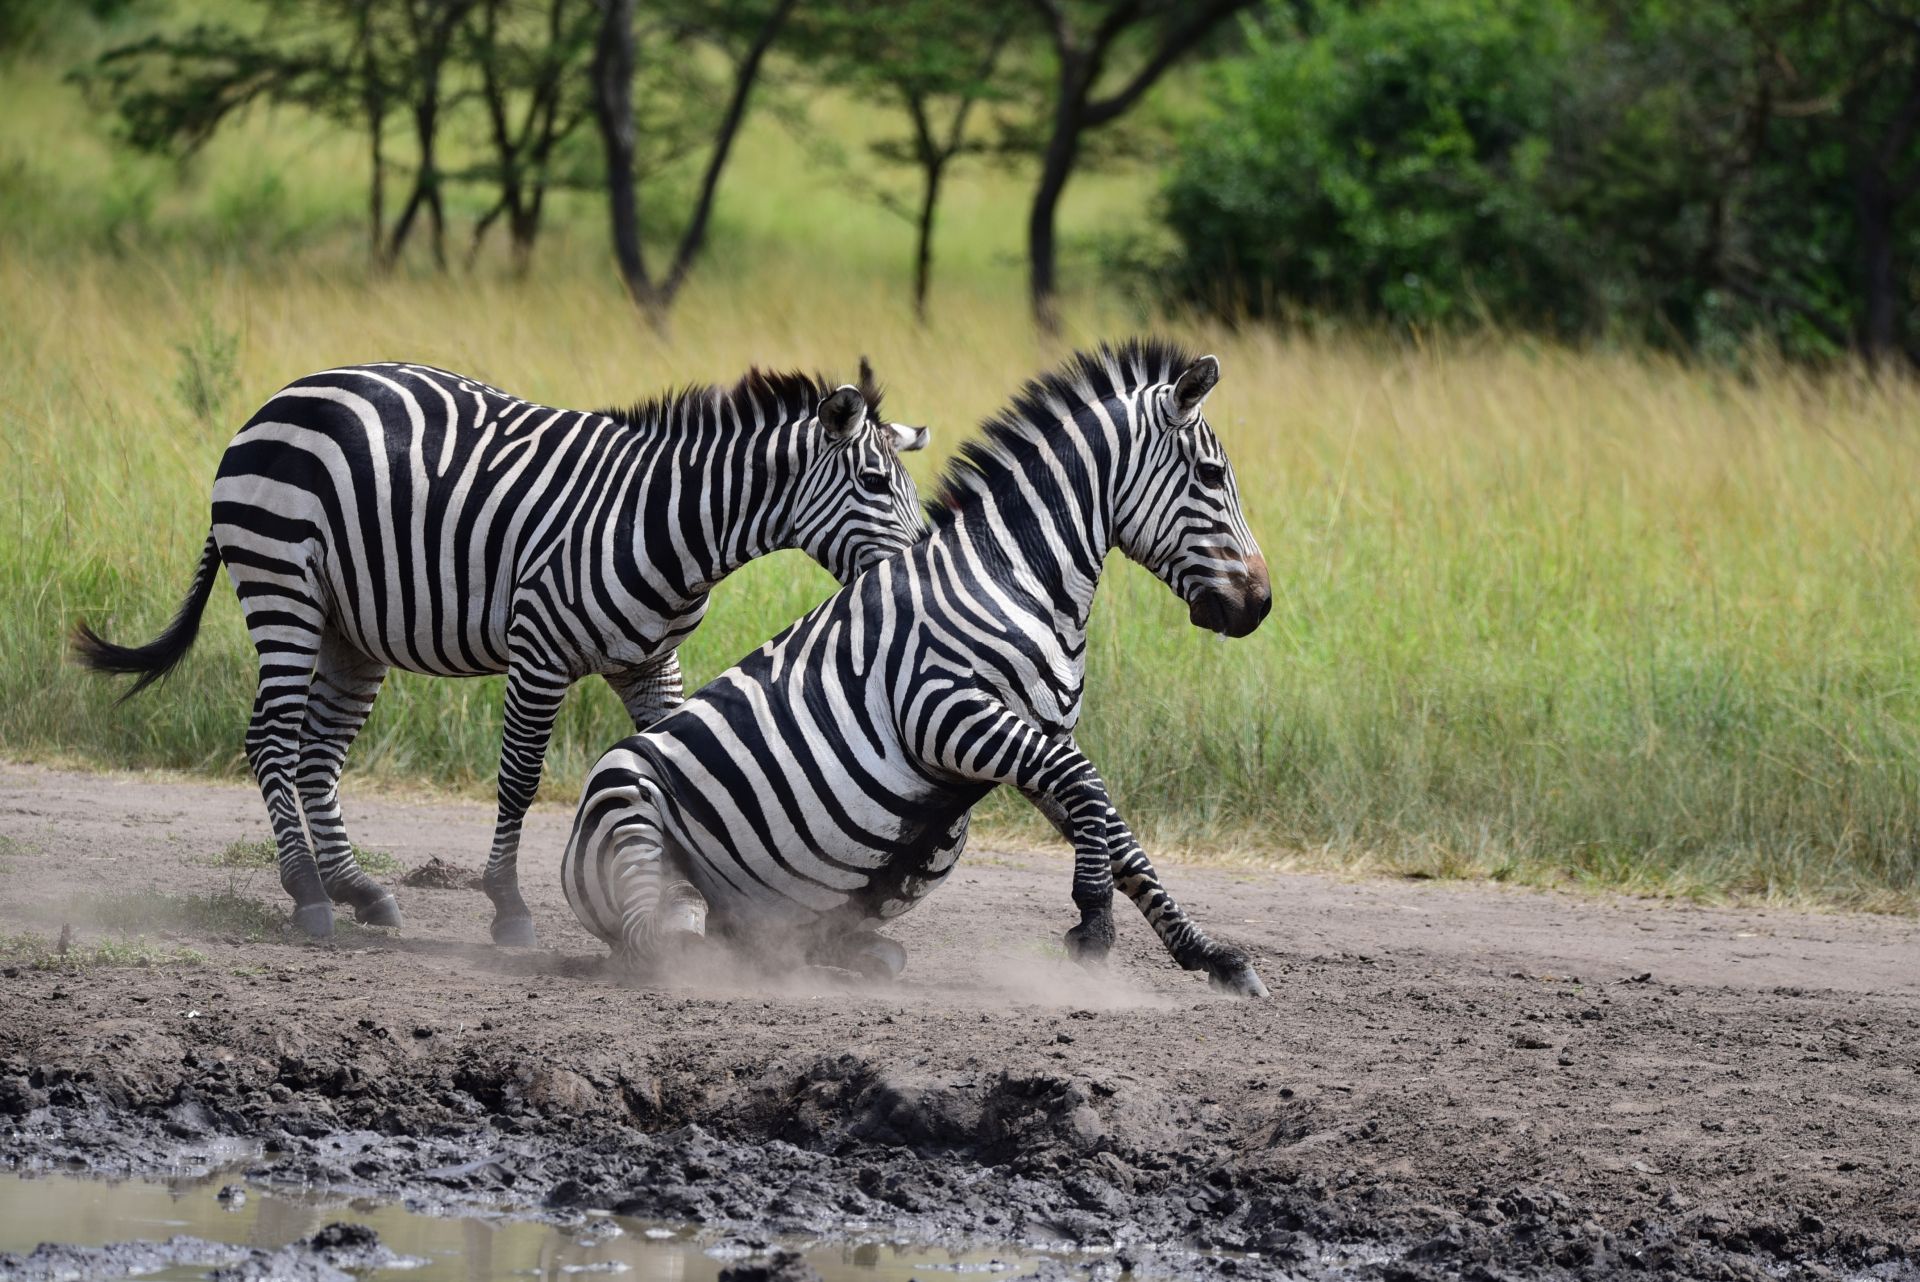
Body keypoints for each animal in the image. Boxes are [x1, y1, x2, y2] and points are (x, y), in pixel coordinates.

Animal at [74, 361, 930, 943]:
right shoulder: (538, 650)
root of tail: (280, 398)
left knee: (317, 753)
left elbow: (679, 764)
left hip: (350, 631)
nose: (924, 564)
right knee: (272, 741)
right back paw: (309, 894)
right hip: (283, 585)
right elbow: (518, 779)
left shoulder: (652, 662)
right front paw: (509, 906)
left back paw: (356, 889)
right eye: (875, 480)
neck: (668, 523)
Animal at [560, 340, 1272, 997]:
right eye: (1212, 474)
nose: (1260, 606)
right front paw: (1093, 929)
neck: (1014, 579)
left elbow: (1118, 835)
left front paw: (1213, 957)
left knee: (765, 935)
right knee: (651, 939)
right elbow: (1089, 785)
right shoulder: (942, 710)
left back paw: (852, 956)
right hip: (625, 802)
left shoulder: (1043, 736)